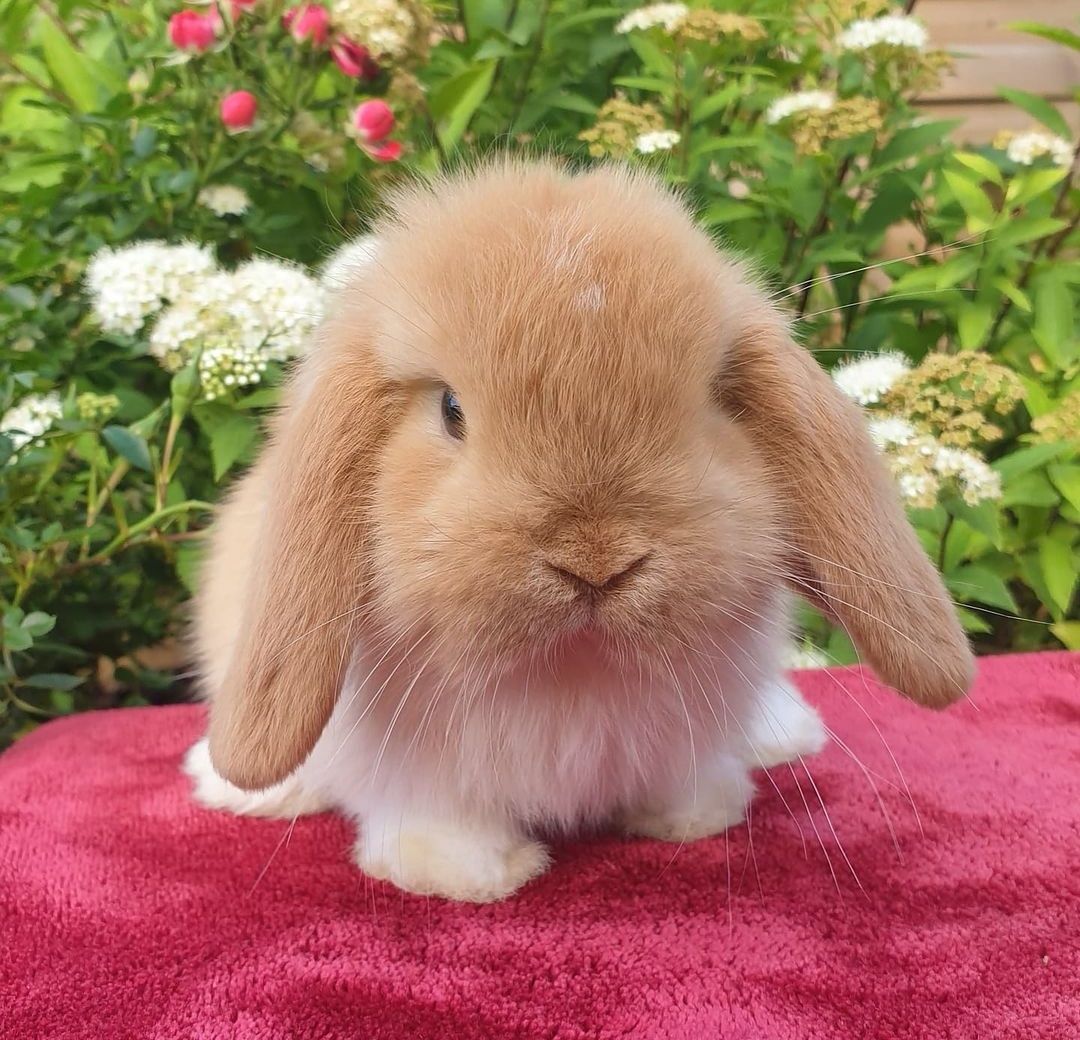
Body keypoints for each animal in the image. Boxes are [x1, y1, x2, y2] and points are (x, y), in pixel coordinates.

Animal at [181, 160, 976, 902]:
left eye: (710, 403)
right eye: (450, 410)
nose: (597, 561)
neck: (572, 669)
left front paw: (696, 816)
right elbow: (437, 812)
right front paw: (463, 871)